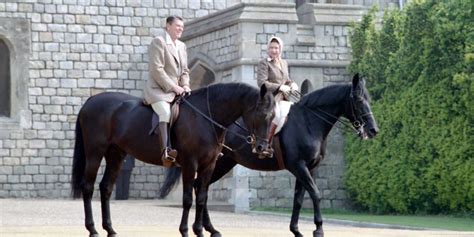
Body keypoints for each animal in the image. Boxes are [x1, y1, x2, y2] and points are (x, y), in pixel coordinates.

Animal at [72, 83, 276, 237]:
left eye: (274, 116)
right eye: (262, 114)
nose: (262, 148)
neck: (205, 116)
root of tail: (91, 100)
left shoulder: (208, 165)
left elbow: (201, 197)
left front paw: (199, 231)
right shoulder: (190, 164)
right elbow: (187, 199)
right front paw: (185, 230)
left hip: (115, 155)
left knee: (106, 188)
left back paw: (110, 229)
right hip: (95, 152)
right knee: (88, 187)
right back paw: (92, 229)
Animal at [161, 74, 380, 237]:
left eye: (368, 99)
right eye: (359, 100)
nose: (373, 130)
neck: (308, 121)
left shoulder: (308, 168)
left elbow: (299, 198)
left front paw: (296, 230)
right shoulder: (299, 166)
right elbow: (315, 194)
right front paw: (318, 229)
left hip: (221, 164)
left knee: (201, 188)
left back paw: (211, 229)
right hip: (217, 163)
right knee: (200, 187)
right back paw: (207, 228)